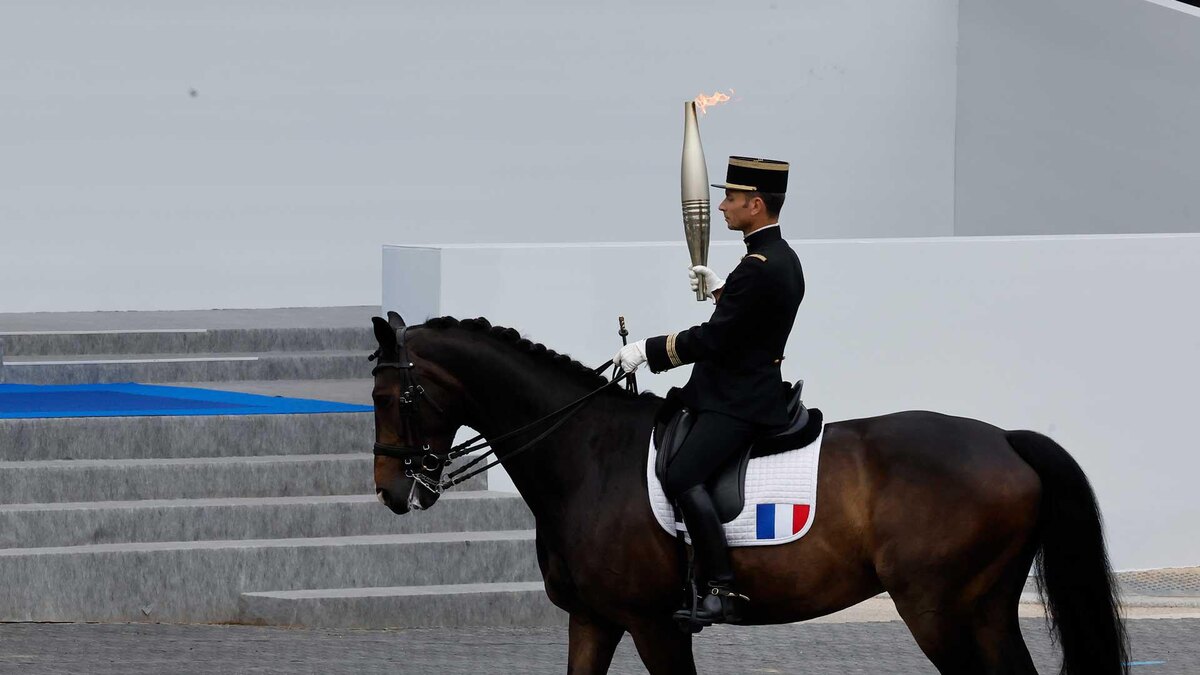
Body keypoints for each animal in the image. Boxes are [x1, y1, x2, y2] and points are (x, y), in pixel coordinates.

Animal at [369, 314, 1128, 672]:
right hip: (986, 609)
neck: (585, 454)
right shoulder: (592, 620)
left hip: (939, 609)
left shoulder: (653, 624)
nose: (391, 491)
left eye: (390, 395)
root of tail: (1005, 439)